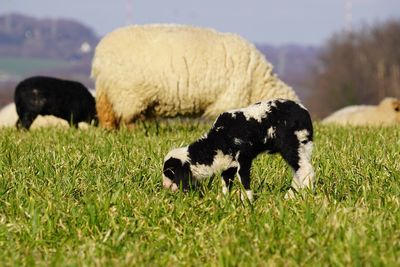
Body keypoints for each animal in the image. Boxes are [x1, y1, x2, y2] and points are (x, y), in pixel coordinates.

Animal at [92, 23, 298, 130]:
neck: (258, 83)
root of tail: (100, 53)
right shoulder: (231, 99)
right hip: (128, 93)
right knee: (127, 118)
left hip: (108, 91)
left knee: (106, 114)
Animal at [162, 99, 316, 201]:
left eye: (170, 173)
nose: (164, 186)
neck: (216, 143)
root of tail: (304, 111)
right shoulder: (228, 164)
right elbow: (226, 181)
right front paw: (223, 201)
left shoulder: (244, 157)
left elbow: (243, 179)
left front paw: (247, 201)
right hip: (304, 146)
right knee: (298, 170)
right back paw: (291, 196)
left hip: (292, 143)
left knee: (305, 169)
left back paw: (302, 196)